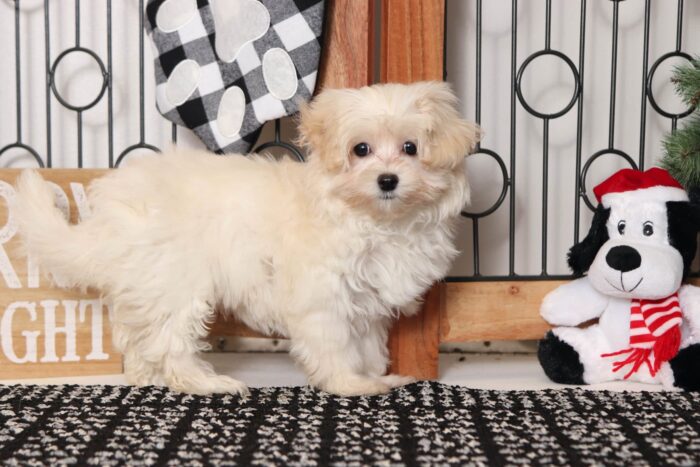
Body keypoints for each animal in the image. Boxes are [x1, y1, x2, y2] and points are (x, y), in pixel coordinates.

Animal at [13, 82, 482, 396]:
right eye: (360, 150)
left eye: (410, 148)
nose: (387, 180)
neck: (376, 221)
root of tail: (111, 212)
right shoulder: (323, 296)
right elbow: (336, 343)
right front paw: (351, 384)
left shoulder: (366, 303)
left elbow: (366, 343)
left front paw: (373, 376)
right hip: (177, 281)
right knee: (170, 342)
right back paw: (206, 382)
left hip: (147, 282)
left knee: (137, 335)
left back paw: (144, 377)